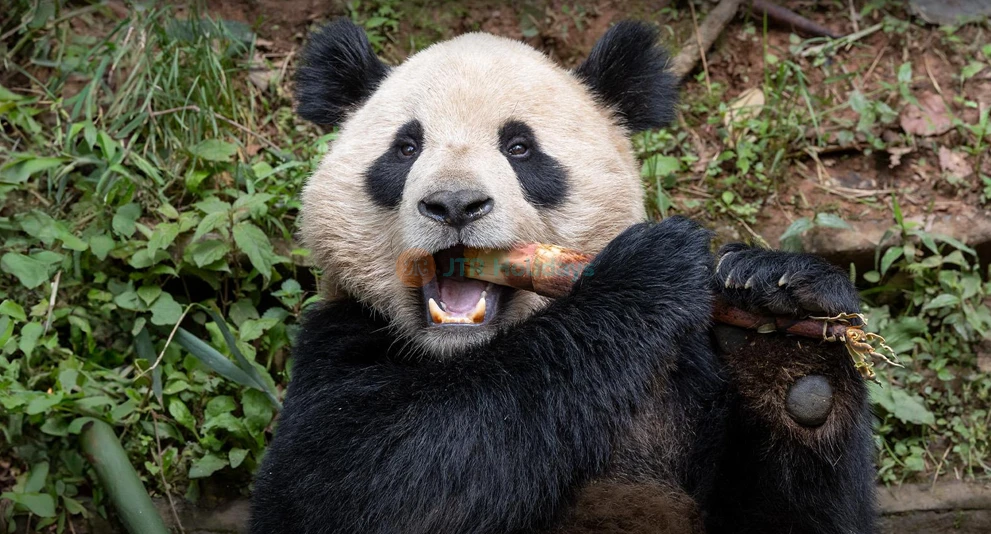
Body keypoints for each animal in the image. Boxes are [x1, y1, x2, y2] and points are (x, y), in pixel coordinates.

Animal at [250, 18, 876, 534]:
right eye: (405, 148)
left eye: (520, 147)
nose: (454, 205)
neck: (464, 356)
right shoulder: (339, 341)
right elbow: (371, 485)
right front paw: (646, 271)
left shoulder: (687, 379)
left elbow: (797, 520)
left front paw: (784, 323)